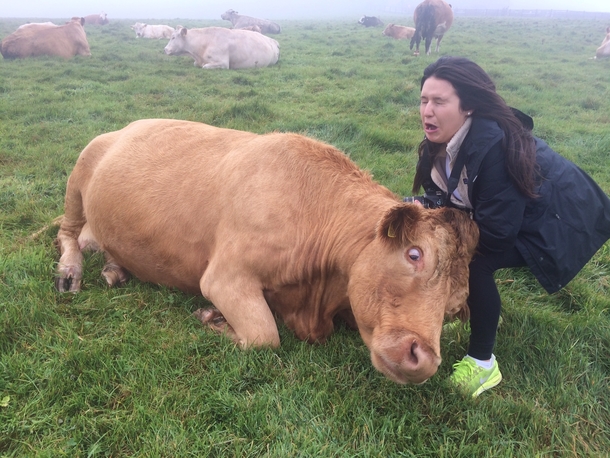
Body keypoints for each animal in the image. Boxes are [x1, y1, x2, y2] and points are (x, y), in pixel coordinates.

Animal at [54, 119, 478, 386]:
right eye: (414, 254)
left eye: (455, 307)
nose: (424, 359)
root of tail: (127, 127)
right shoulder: (225, 277)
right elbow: (263, 336)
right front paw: (212, 318)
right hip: (80, 172)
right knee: (68, 231)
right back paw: (70, 272)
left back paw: (115, 268)